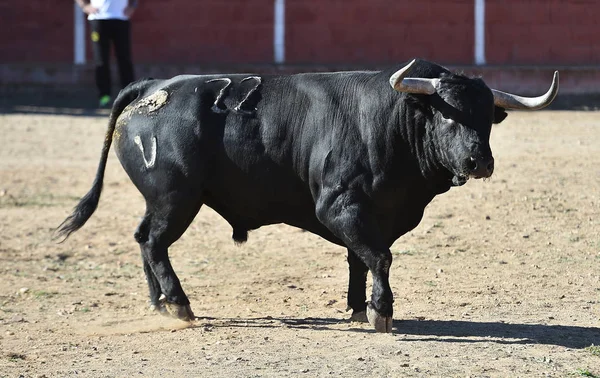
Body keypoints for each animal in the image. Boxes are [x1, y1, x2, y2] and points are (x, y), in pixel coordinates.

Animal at [57, 57, 556, 332]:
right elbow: (380, 257)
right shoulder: (340, 206)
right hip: (175, 199)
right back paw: (178, 304)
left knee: (143, 239)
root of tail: (154, 88)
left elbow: (361, 258)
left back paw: (158, 303)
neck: (392, 121)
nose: (479, 162)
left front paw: (357, 308)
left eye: (487, 117)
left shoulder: (372, 215)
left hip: (162, 202)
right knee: (154, 242)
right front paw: (381, 311)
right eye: (448, 114)